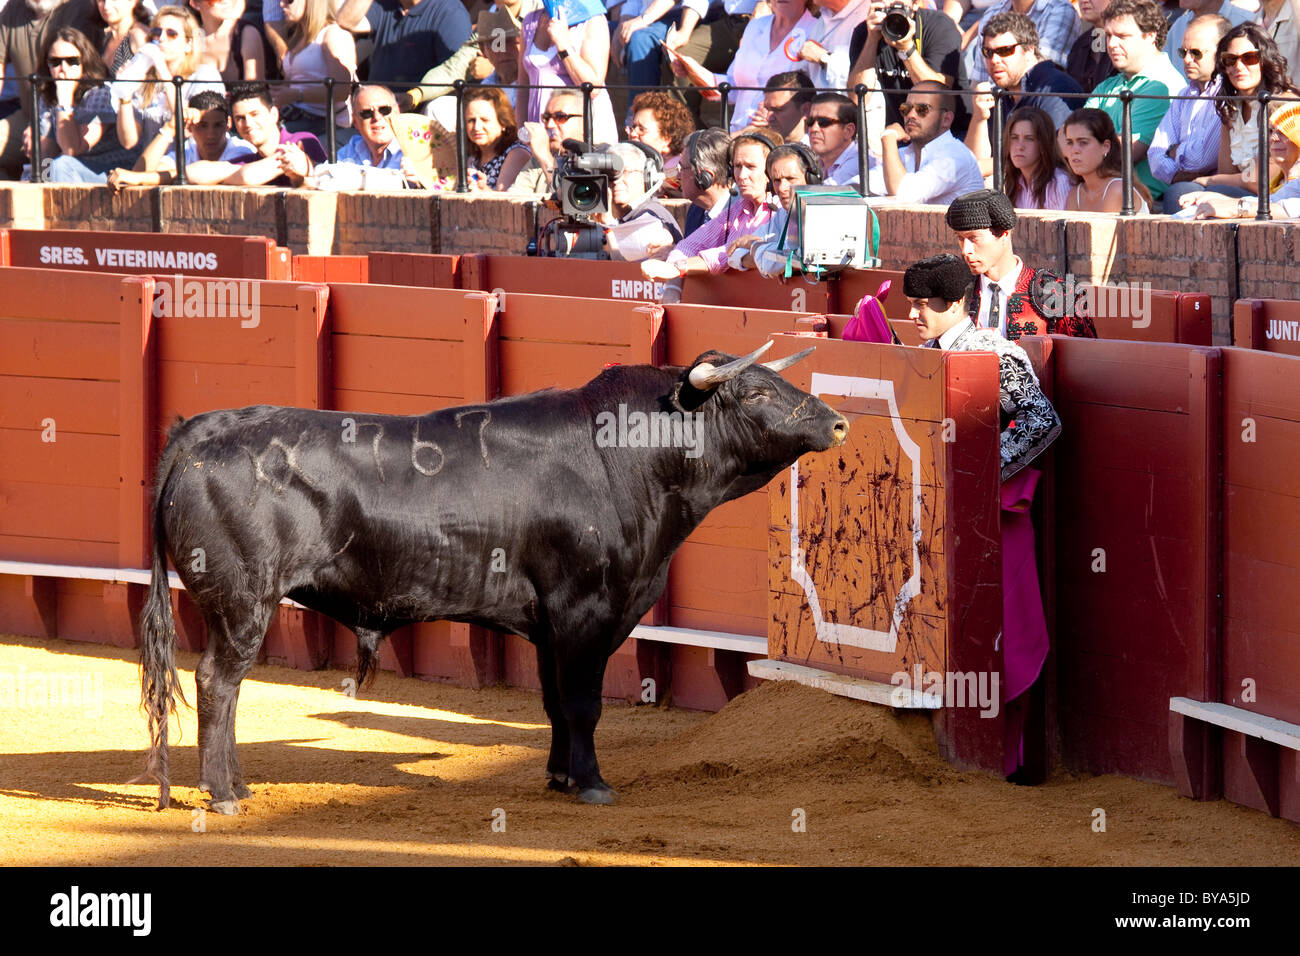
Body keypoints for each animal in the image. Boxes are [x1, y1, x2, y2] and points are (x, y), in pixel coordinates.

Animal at [137, 340, 847, 811]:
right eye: (757, 393)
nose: (838, 421)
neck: (629, 457)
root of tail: (200, 431)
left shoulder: (551, 626)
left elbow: (556, 703)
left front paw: (560, 777)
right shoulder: (585, 612)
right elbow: (584, 702)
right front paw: (593, 784)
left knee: (223, 686)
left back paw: (238, 785)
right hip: (243, 601)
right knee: (218, 682)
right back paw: (224, 793)